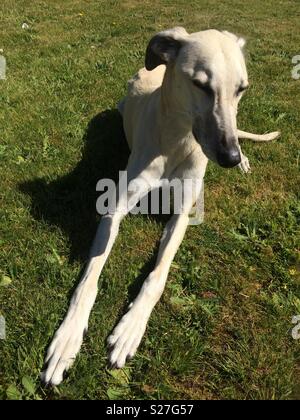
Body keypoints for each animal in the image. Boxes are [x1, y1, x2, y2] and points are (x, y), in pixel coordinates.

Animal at [41, 27, 280, 386]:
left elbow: (158, 276)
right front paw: (68, 338)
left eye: (242, 89)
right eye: (200, 84)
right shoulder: (113, 209)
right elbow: (89, 280)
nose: (229, 157)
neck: (177, 140)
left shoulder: (183, 214)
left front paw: (130, 328)